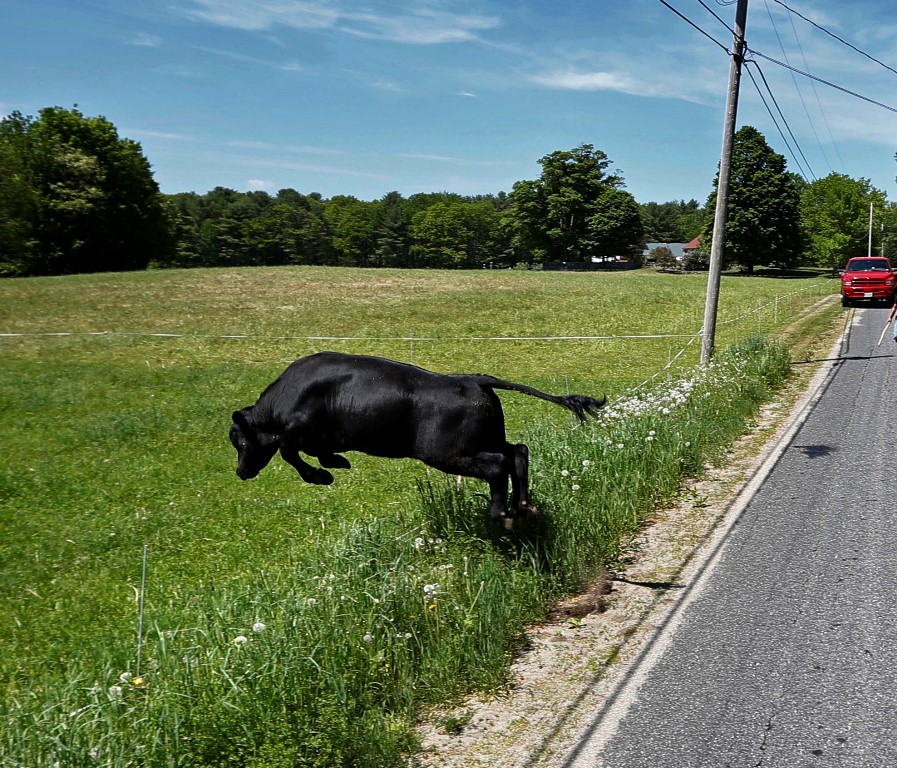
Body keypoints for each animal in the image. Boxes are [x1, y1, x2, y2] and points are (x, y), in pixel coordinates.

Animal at [228, 352, 604, 528]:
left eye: (241, 442)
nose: (240, 472)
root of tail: (472, 379)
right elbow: (315, 452)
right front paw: (337, 461)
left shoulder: (297, 431)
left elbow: (289, 452)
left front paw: (323, 474)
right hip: (488, 439)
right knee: (518, 453)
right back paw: (524, 506)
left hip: (448, 453)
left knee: (498, 465)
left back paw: (501, 514)